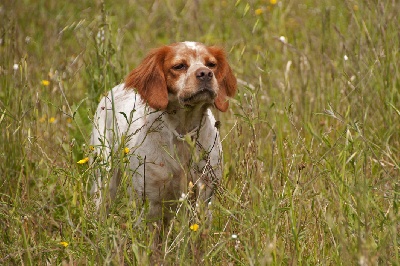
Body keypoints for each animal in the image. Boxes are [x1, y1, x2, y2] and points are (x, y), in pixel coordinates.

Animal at [89, 41, 236, 222]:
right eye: (179, 66)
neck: (183, 133)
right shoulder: (149, 201)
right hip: (104, 176)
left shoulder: (204, 196)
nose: (206, 74)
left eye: (211, 64)